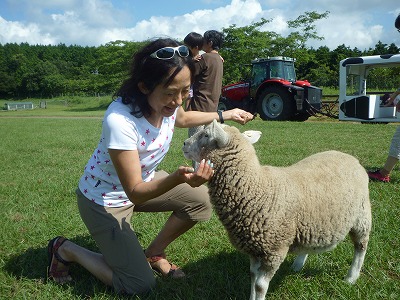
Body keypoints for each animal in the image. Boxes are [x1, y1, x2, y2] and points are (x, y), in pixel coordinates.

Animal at [184, 120, 372, 300]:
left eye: (206, 135)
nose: (184, 143)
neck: (257, 188)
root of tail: (350, 157)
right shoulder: (254, 248)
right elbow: (252, 276)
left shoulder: (274, 249)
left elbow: (260, 285)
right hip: (311, 223)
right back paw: (298, 265)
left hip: (362, 214)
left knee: (361, 246)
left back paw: (351, 277)